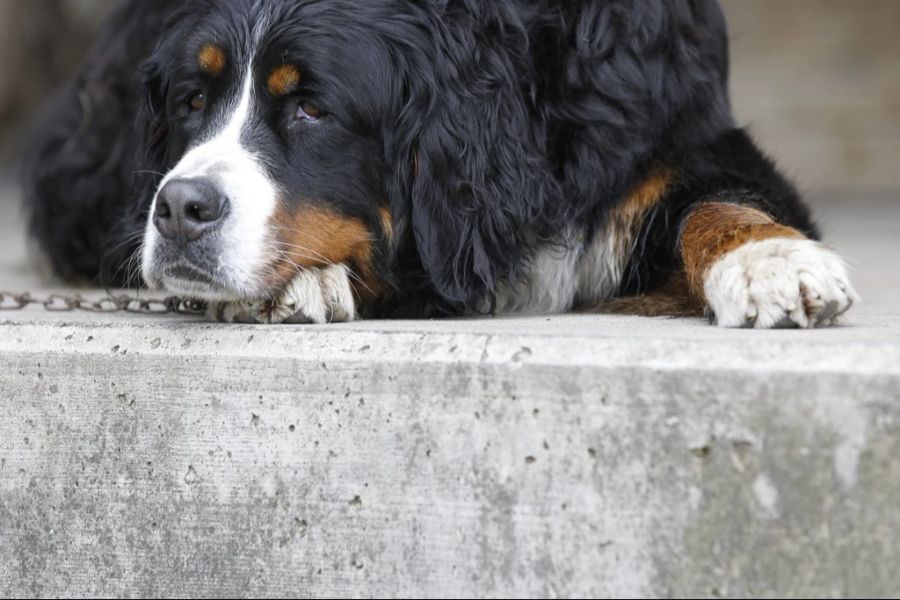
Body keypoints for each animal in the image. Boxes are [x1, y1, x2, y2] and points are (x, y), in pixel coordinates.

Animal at [24, 0, 860, 328]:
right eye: (193, 100)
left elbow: (718, 202)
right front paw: (306, 280)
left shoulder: (673, 135)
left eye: (311, 108)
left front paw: (772, 261)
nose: (179, 209)